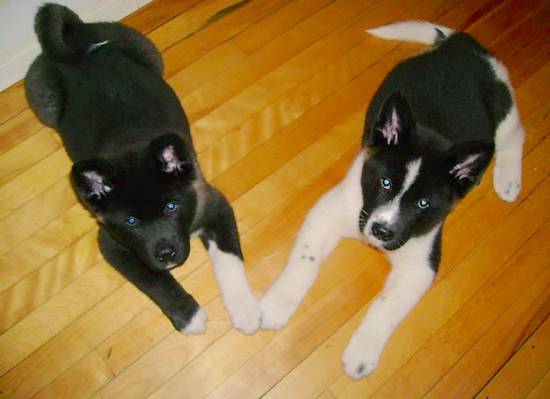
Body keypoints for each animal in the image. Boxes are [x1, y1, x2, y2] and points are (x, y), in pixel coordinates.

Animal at [23, 3, 260, 334]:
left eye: (172, 206)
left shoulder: (214, 205)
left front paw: (245, 309)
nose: (166, 254)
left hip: (149, 53)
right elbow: (155, 280)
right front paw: (188, 314)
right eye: (132, 222)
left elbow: (230, 258)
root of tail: (77, 33)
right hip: (42, 100)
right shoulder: (113, 244)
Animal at [260, 21, 528, 378]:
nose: (382, 232)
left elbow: (386, 307)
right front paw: (277, 304)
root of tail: (463, 46)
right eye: (385, 183)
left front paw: (362, 351)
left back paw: (508, 179)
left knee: (515, 136)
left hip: (504, 111)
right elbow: (304, 262)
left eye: (423, 204)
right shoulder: (329, 213)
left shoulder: (420, 264)